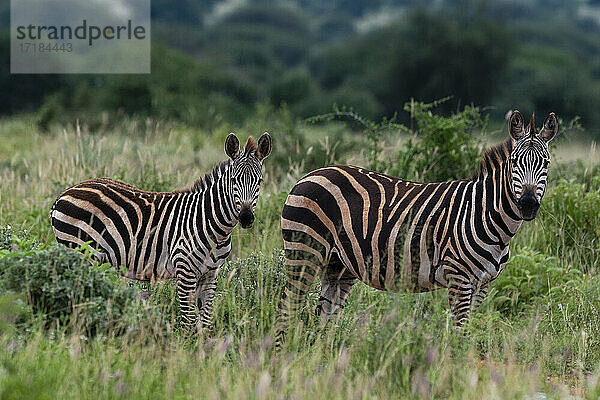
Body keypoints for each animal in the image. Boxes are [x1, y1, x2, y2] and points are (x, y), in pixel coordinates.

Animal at [51, 132, 272, 332]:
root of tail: (64, 193)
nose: (246, 218)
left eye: (260, 181)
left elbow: (205, 322)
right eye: (234, 180)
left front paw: (204, 349)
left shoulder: (211, 273)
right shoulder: (185, 270)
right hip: (80, 251)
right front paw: (184, 348)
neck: (214, 227)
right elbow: (187, 323)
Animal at [276, 111, 556, 346]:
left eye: (545, 163)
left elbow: (468, 330)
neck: (487, 217)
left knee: (323, 316)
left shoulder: (483, 283)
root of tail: (309, 174)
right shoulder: (459, 278)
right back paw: (283, 357)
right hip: (304, 251)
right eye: (515, 162)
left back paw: (322, 360)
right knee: (287, 306)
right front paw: (455, 371)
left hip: (339, 265)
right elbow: (460, 333)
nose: (528, 204)